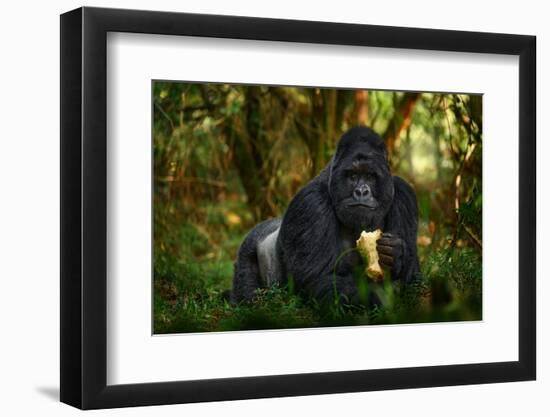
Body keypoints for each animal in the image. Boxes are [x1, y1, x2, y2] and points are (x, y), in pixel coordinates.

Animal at [231, 125, 420, 304]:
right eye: (352, 176)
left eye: (370, 176)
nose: (361, 192)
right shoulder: (311, 204)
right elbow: (317, 279)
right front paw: (380, 296)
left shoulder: (404, 195)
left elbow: (414, 276)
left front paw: (397, 254)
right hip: (246, 251)